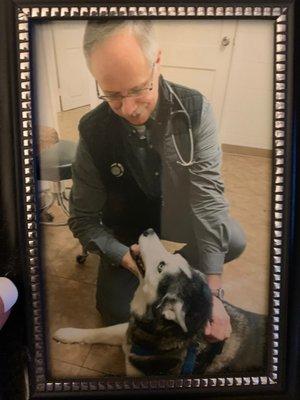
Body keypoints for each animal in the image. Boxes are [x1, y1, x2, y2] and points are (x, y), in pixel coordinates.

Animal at [54, 230, 268, 376]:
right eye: (175, 257)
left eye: (160, 266)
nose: (149, 231)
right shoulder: (126, 330)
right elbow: (100, 331)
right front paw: (67, 333)